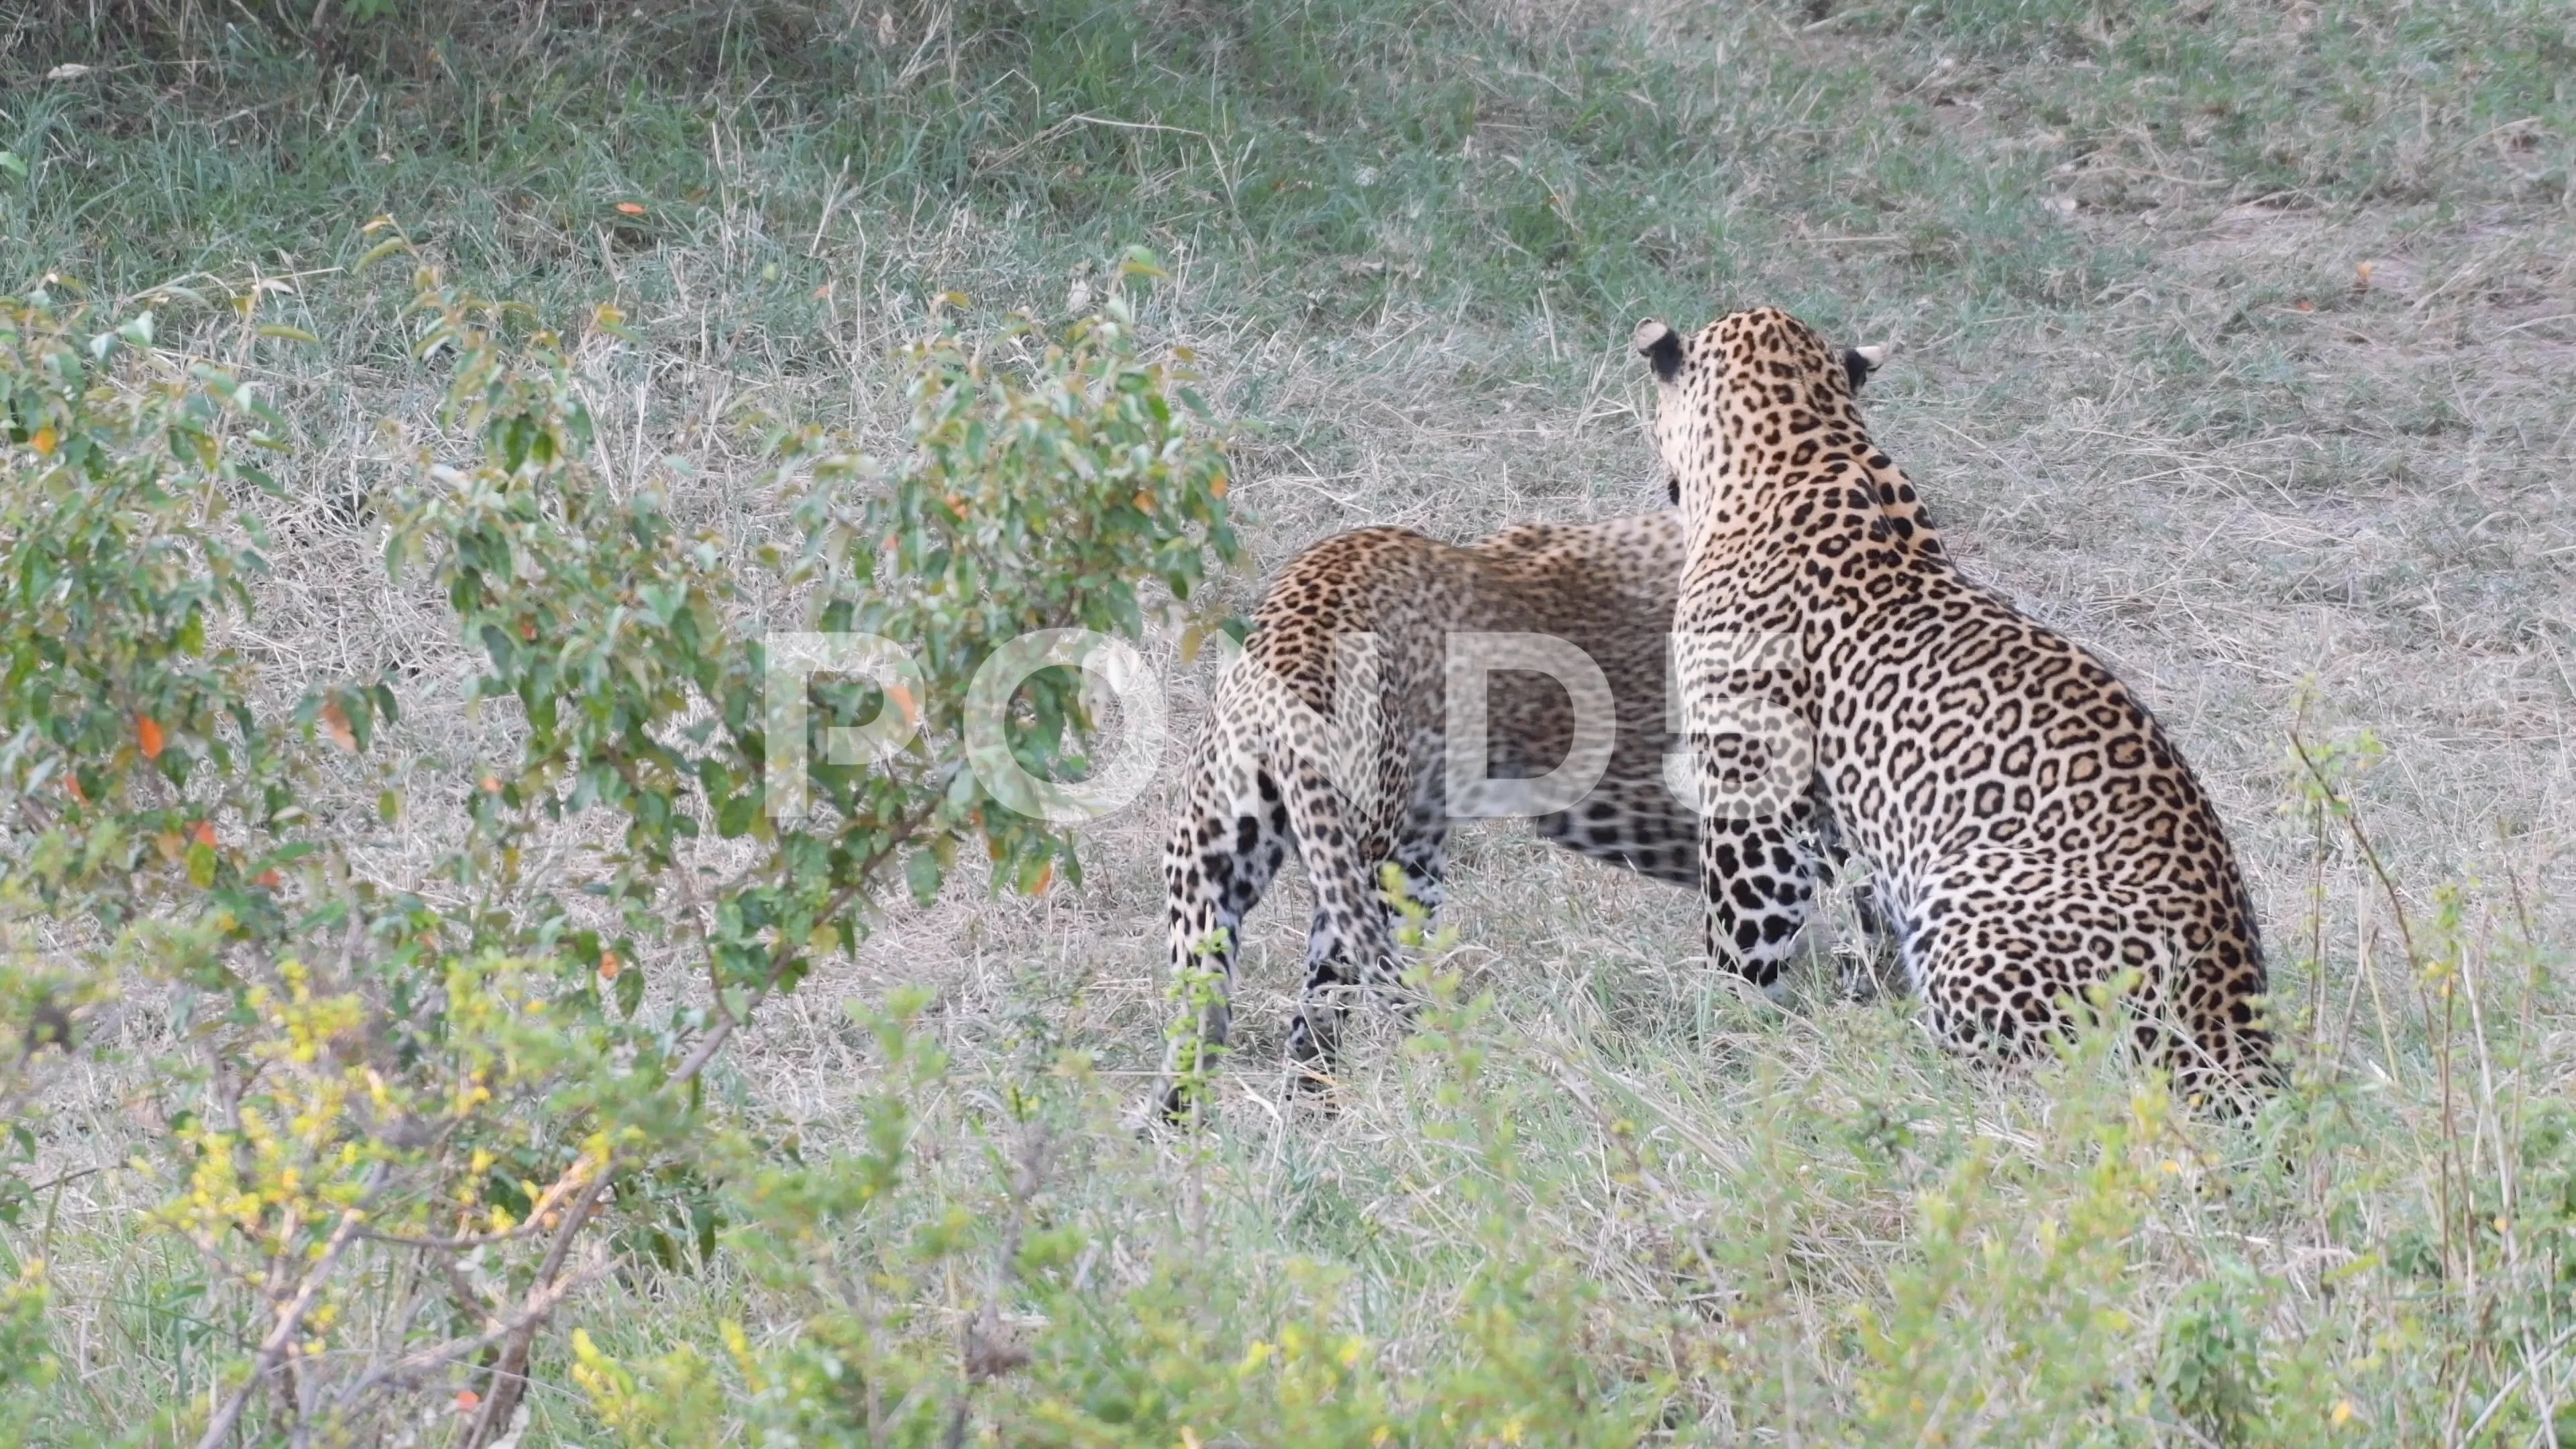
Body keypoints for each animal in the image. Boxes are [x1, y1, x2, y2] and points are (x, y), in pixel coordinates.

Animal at [1627, 304, 2277, 1093]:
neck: (1808, 445)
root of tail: (2236, 1036)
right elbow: (1863, 897)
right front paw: (1855, 975)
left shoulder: (1754, 780)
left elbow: (1744, 920)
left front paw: (1714, 1013)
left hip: (1971, 897)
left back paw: (1874, 1049)